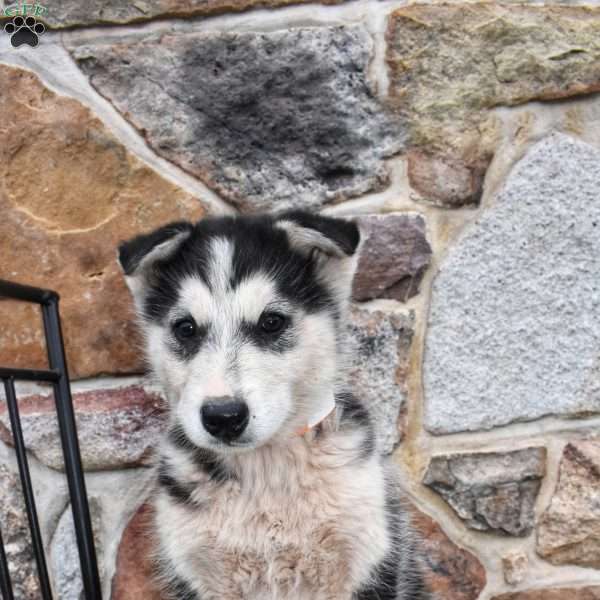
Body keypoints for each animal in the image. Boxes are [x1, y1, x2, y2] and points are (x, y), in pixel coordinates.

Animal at [117, 212, 428, 600]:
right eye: (185, 328)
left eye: (271, 322)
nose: (223, 417)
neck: (265, 472)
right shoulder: (195, 569)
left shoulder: (368, 558)